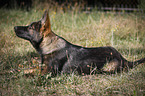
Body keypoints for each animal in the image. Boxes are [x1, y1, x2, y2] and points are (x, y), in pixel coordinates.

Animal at [14, 9, 144, 76]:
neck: (48, 45)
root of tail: (125, 59)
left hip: (108, 67)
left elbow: (31, 73)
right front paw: (17, 70)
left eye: (30, 27)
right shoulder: (41, 68)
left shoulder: (47, 72)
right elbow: (29, 69)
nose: (14, 27)